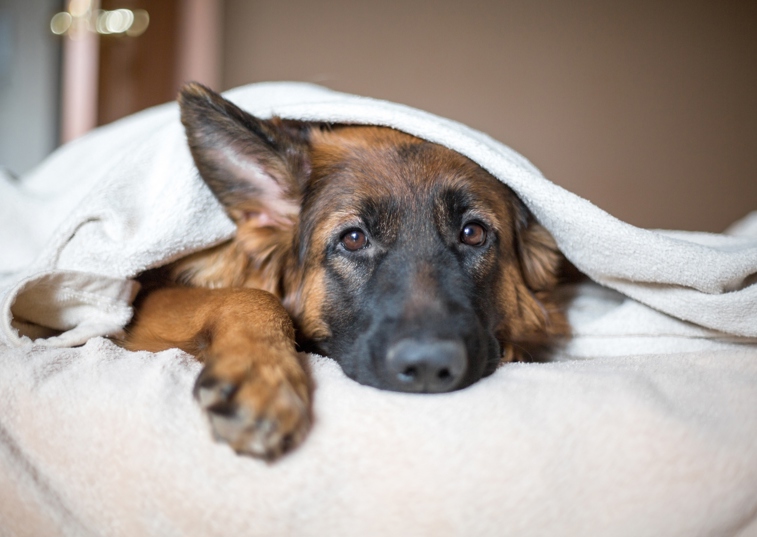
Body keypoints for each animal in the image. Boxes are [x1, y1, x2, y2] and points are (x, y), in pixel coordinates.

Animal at [121, 81, 564, 458]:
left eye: (473, 233)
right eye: (353, 239)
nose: (427, 366)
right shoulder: (143, 303)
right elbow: (252, 295)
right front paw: (262, 374)